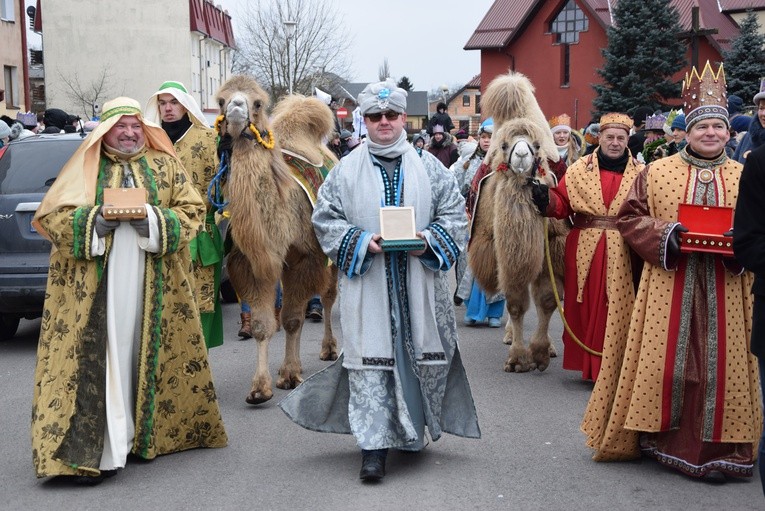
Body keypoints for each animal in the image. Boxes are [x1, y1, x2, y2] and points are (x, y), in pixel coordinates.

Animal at [213, 75, 336, 404]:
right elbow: (262, 325)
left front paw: (289, 375)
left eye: (258, 103)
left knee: (329, 298)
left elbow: (293, 319)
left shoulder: (307, 258)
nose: (236, 107)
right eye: (221, 100)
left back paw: (329, 349)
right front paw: (260, 387)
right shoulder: (253, 263)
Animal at [466, 72, 568, 374]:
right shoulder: (507, 253)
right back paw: (510, 335)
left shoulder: (551, 250)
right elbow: (515, 304)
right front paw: (518, 358)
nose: (522, 156)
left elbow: (546, 300)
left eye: (536, 145)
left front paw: (541, 352)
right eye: (503, 145)